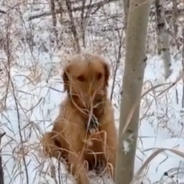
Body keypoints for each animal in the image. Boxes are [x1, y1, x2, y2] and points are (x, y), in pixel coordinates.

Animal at [40, 52, 117, 183]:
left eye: (99, 75)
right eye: (80, 78)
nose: (98, 99)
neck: (91, 117)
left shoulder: (111, 147)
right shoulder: (76, 154)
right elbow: (83, 177)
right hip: (47, 139)